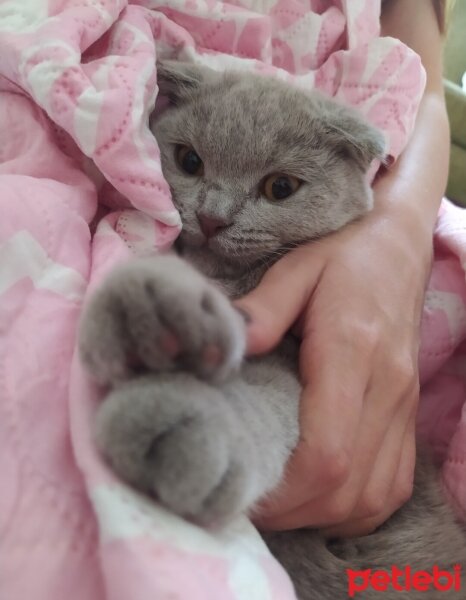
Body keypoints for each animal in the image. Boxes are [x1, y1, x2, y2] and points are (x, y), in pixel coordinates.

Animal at [78, 62, 464, 600]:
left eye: (280, 188)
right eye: (189, 160)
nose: (212, 217)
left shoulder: (289, 360)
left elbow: (268, 400)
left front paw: (181, 415)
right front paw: (150, 321)